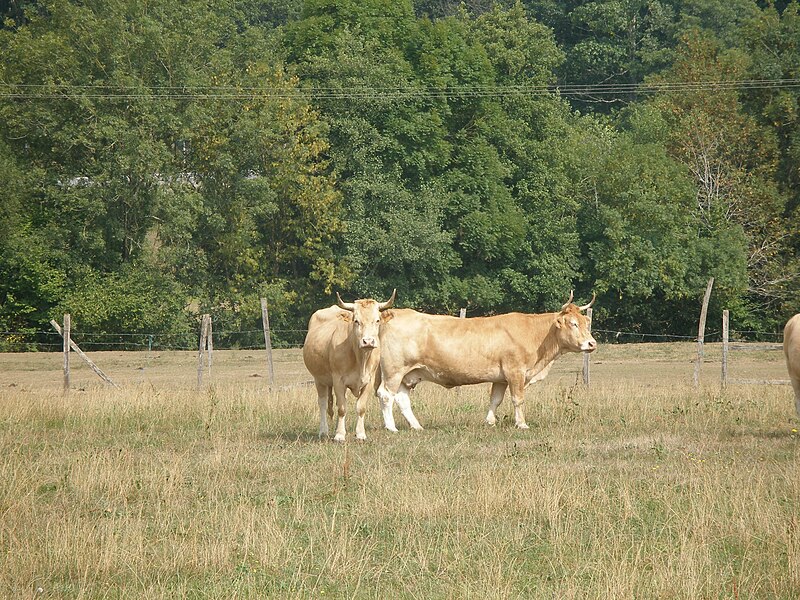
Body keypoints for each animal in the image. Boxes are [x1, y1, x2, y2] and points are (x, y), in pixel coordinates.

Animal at [302, 290, 396, 440]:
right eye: (356, 321)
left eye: (377, 320)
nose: (368, 341)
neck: (360, 359)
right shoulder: (338, 380)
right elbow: (342, 408)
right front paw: (340, 435)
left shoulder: (369, 381)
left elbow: (360, 407)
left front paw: (360, 434)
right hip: (319, 379)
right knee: (322, 403)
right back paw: (324, 431)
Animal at [378, 292, 596, 432]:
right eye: (573, 323)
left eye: (586, 323)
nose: (592, 343)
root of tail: (395, 314)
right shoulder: (515, 372)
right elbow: (518, 399)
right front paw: (522, 424)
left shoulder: (500, 378)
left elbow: (495, 399)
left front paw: (490, 422)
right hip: (394, 371)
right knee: (386, 395)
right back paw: (391, 427)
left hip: (408, 374)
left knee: (402, 398)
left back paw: (417, 426)